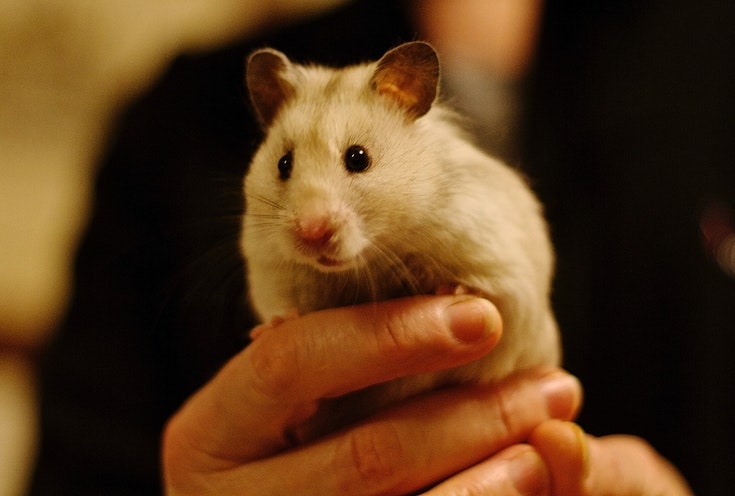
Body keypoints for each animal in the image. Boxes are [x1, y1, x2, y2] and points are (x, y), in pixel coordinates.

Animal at [241, 42, 560, 441]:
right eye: (283, 164)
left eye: (358, 157)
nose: (311, 233)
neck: (374, 258)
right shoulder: (271, 268)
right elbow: (282, 306)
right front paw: (272, 328)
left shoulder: (504, 270)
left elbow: (492, 299)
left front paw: (453, 292)